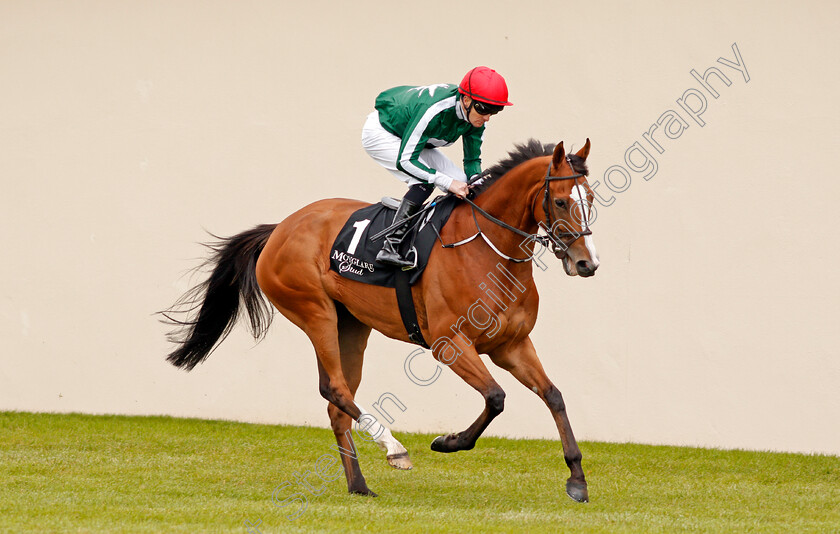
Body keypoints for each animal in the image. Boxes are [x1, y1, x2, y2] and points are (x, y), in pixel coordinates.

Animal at [161, 139, 596, 506]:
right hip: (314, 310)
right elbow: (496, 397)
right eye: (560, 201)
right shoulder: (450, 344)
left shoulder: (512, 345)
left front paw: (577, 479)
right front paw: (448, 441)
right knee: (335, 388)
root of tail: (279, 228)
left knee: (337, 402)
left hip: (352, 325)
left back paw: (359, 485)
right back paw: (394, 448)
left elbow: (554, 395)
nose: (586, 263)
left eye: (589, 199)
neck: (487, 249)